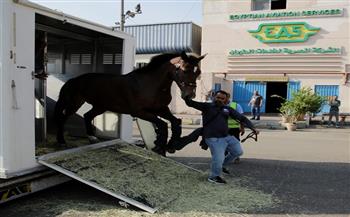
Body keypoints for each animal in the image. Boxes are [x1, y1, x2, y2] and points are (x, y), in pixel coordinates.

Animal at [53, 51, 204, 154]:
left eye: (198, 72)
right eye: (185, 70)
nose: (190, 95)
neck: (151, 84)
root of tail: (73, 80)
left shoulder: (161, 109)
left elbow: (175, 122)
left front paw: (171, 145)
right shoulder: (139, 112)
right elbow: (162, 125)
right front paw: (159, 146)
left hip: (100, 106)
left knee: (87, 116)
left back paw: (92, 138)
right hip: (75, 103)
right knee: (62, 118)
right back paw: (61, 142)